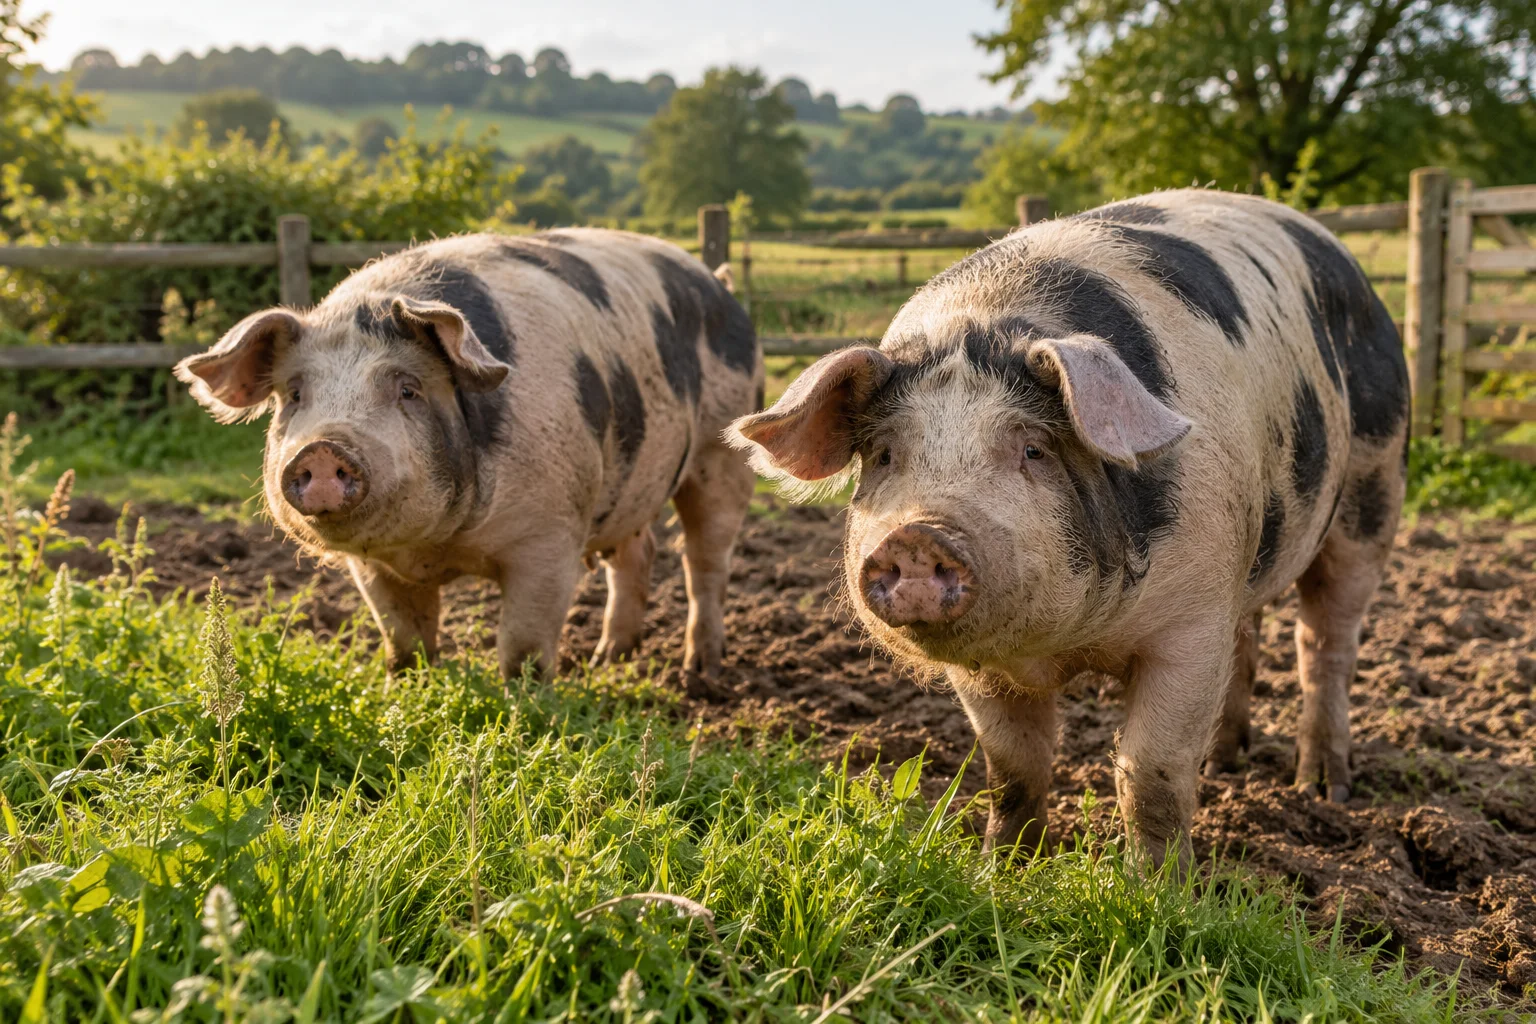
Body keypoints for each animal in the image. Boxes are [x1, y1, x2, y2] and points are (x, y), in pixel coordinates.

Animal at [176, 229, 763, 682]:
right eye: (296, 394)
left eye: (408, 389)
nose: (321, 448)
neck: (436, 546)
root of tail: (721, 284)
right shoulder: (371, 566)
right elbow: (405, 643)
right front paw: (404, 695)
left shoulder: (550, 535)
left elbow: (523, 649)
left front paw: (527, 711)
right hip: (630, 481)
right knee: (638, 552)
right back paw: (605, 659)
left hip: (722, 454)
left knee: (704, 560)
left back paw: (699, 672)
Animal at [730, 190, 1408, 866]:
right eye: (883, 455)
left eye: (1034, 449)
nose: (918, 535)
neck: (1068, 641)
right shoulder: (981, 667)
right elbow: (1012, 767)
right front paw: (1000, 868)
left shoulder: (1191, 623)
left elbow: (1152, 770)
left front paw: (1158, 886)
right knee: (1252, 632)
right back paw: (1223, 764)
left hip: (1374, 484)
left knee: (1325, 643)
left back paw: (1323, 788)